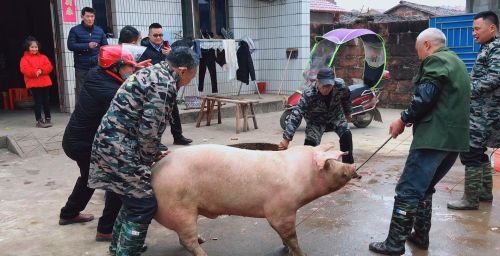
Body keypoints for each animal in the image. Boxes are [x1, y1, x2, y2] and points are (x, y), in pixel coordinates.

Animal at [151, 144, 356, 256]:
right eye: (329, 164)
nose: (352, 166)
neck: (300, 177)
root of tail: (154, 172)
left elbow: (285, 236)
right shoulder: (281, 210)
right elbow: (290, 235)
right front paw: (302, 253)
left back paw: (202, 240)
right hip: (180, 207)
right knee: (186, 240)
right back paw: (204, 252)